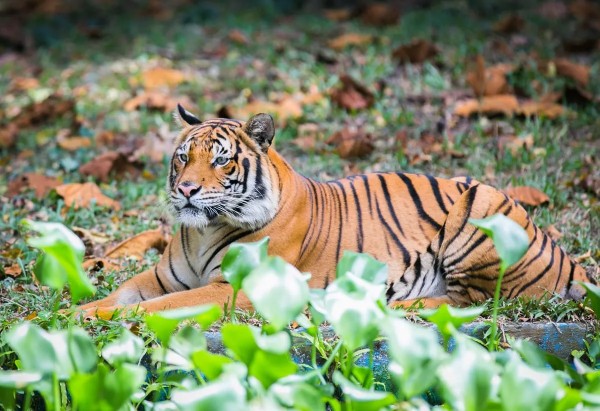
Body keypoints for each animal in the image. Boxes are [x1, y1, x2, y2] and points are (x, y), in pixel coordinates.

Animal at [76, 104, 592, 318]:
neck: (203, 231)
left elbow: (157, 308)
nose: (185, 189)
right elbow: (121, 294)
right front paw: (68, 313)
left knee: (472, 301)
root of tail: (567, 258)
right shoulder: (161, 277)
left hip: (481, 207)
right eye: (183, 157)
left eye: (221, 160)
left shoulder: (234, 289)